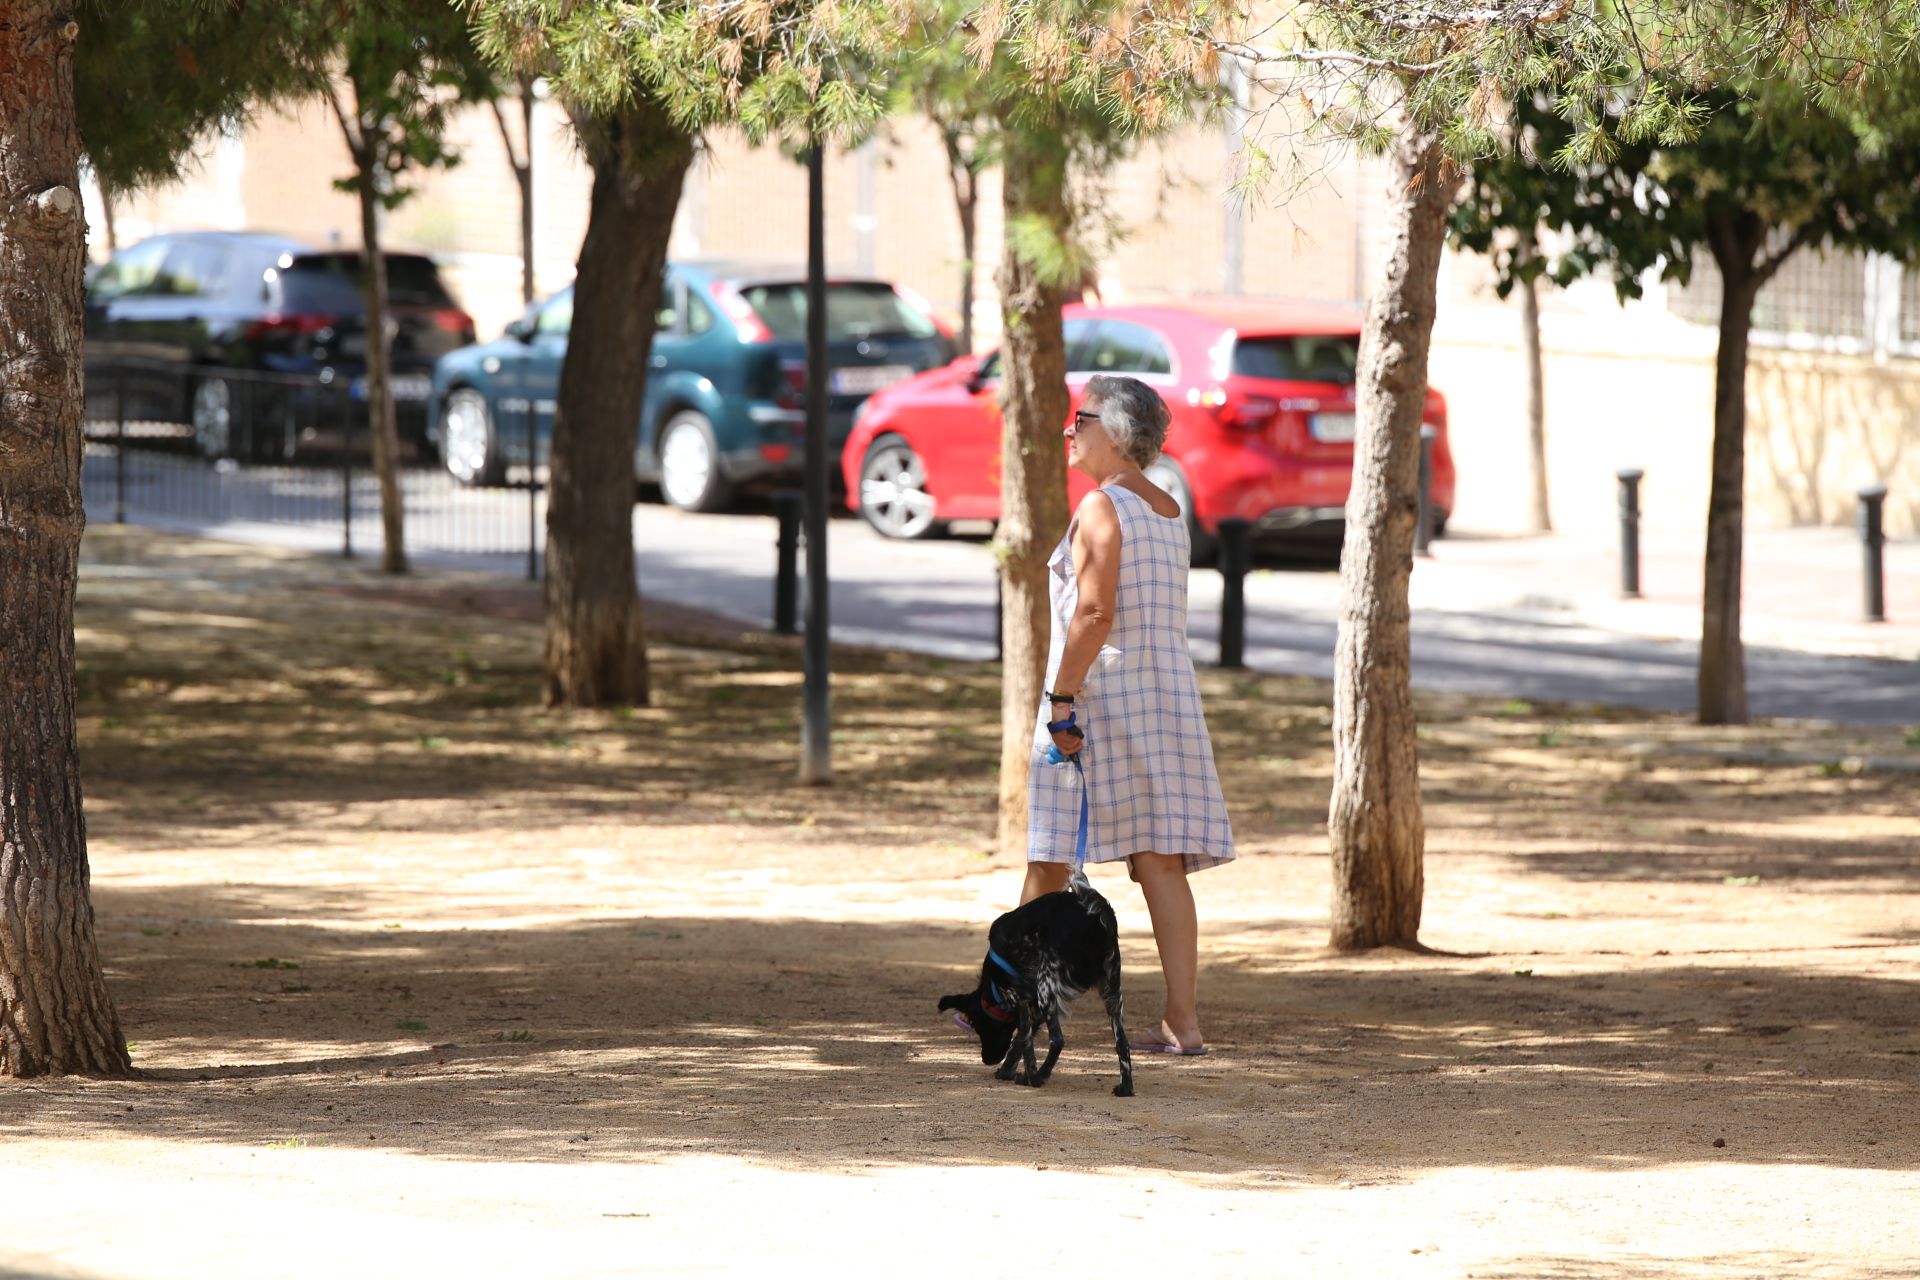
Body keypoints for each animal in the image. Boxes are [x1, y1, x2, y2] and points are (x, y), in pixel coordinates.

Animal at [936, 875, 1128, 1097]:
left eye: (978, 1026)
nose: (986, 1059)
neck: (993, 985)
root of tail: (1096, 915)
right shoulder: (1033, 1007)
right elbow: (1019, 1041)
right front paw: (1008, 1070)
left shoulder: (1022, 1000)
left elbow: (1025, 1041)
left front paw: (1027, 1075)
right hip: (1112, 993)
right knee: (1123, 1044)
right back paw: (1126, 1087)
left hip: (1047, 989)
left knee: (1057, 1040)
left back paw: (1039, 1078)